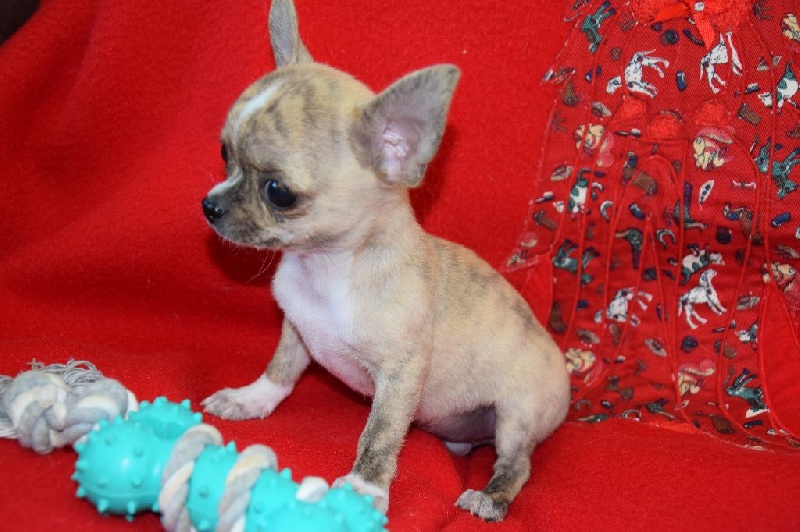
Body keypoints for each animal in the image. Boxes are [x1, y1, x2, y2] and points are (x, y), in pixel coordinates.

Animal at [200, 0, 569, 522]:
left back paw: (490, 496)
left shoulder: (400, 376)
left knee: (517, 463)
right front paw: (252, 399)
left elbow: (379, 436)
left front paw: (362, 489)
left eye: (279, 192)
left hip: (518, 414)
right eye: (224, 153)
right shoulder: (295, 330)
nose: (209, 206)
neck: (329, 268)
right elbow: (281, 370)